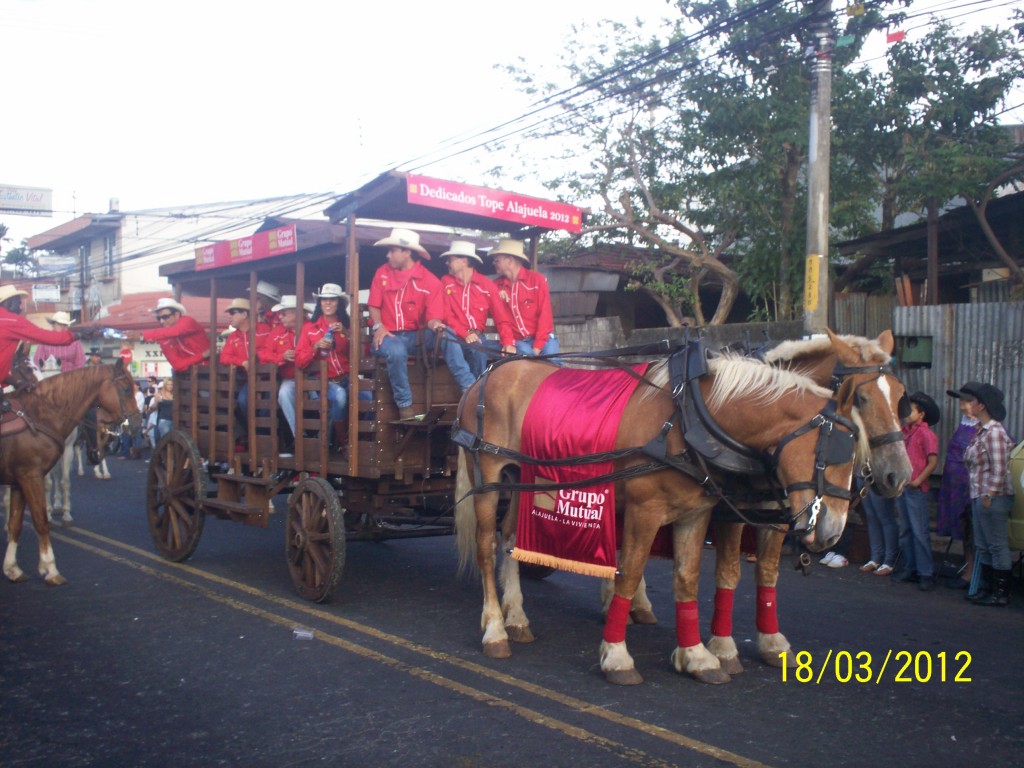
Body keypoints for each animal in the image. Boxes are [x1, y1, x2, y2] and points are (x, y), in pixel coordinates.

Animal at [1, 364, 139, 585]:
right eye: (126, 389)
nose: (136, 423)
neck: (38, 416)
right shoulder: (30, 476)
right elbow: (40, 520)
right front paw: (50, 568)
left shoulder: (20, 479)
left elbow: (16, 523)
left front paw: (12, 568)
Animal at [456, 350, 864, 684]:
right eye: (836, 452)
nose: (833, 531)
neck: (689, 419)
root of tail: (487, 374)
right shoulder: (645, 510)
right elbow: (629, 573)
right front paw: (617, 656)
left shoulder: (695, 514)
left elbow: (687, 579)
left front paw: (697, 655)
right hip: (488, 474)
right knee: (486, 546)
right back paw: (495, 629)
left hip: (523, 479)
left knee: (510, 539)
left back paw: (516, 617)